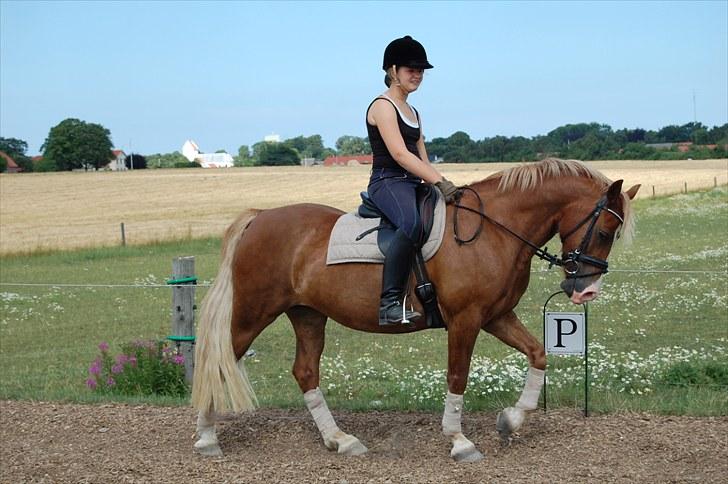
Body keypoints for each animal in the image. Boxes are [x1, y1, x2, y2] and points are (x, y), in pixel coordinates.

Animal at [191, 158, 640, 462]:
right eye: (605, 231)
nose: (585, 292)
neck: (494, 229)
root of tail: (259, 217)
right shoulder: (465, 321)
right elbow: (458, 376)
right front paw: (460, 441)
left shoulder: (496, 316)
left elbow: (538, 354)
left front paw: (511, 420)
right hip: (253, 313)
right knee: (218, 362)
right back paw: (207, 438)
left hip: (307, 315)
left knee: (305, 372)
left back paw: (340, 440)